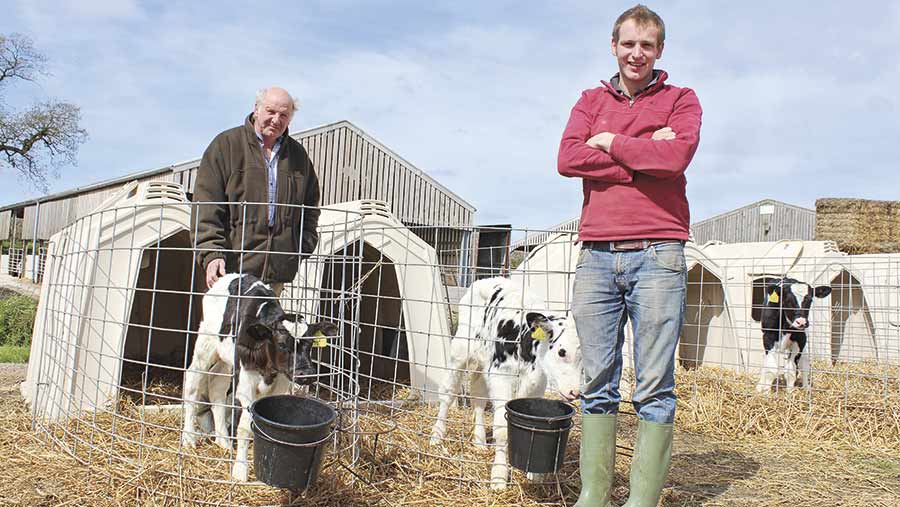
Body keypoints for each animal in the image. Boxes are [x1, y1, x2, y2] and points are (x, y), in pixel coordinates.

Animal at [179, 276, 338, 482]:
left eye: (310, 344)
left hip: (226, 358)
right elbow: (245, 427)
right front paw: (240, 469)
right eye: (282, 344)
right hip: (206, 342)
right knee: (192, 381)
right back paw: (189, 438)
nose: (307, 373)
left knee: (216, 386)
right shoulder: (246, 382)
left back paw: (223, 441)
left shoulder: (281, 379)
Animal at [430, 276, 584, 490]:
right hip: (460, 350)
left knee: (478, 398)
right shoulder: (500, 374)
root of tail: (486, 279)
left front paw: (534, 474)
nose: (574, 392)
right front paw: (499, 476)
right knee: (448, 393)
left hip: (483, 362)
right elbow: (502, 429)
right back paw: (437, 435)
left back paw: (479, 442)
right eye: (562, 352)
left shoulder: (537, 380)